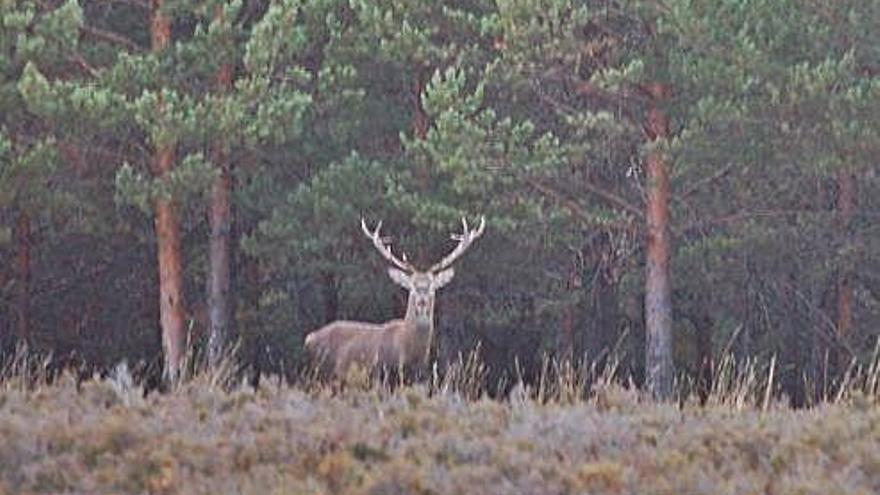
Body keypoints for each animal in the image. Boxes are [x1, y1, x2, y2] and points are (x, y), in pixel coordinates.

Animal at [304, 215, 488, 382]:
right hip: (320, 375)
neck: (409, 354)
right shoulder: (382, 373)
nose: (421, 302)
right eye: (412, 286)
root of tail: (309, 338)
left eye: (432, 287)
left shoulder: (420, 378)